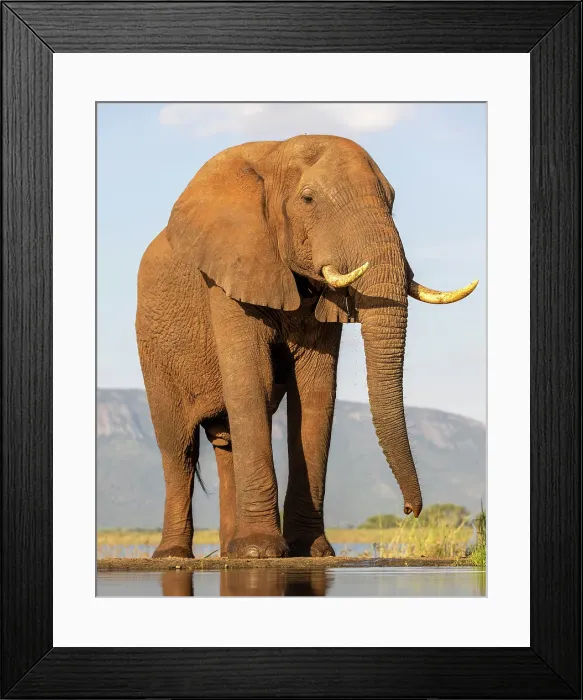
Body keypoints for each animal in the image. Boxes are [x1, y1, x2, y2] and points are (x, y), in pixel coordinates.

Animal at [136, 135, 477, 560]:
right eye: (308, 199)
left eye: (393, 200)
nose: (410, 510)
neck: (275, 152)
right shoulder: (228, 275)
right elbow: (252, 381)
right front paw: (262, 553)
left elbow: (316, 390)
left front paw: (311, 553)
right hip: (152, 347)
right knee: (178, 447)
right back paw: (175, 555)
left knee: (225, 441)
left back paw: (231, 552)